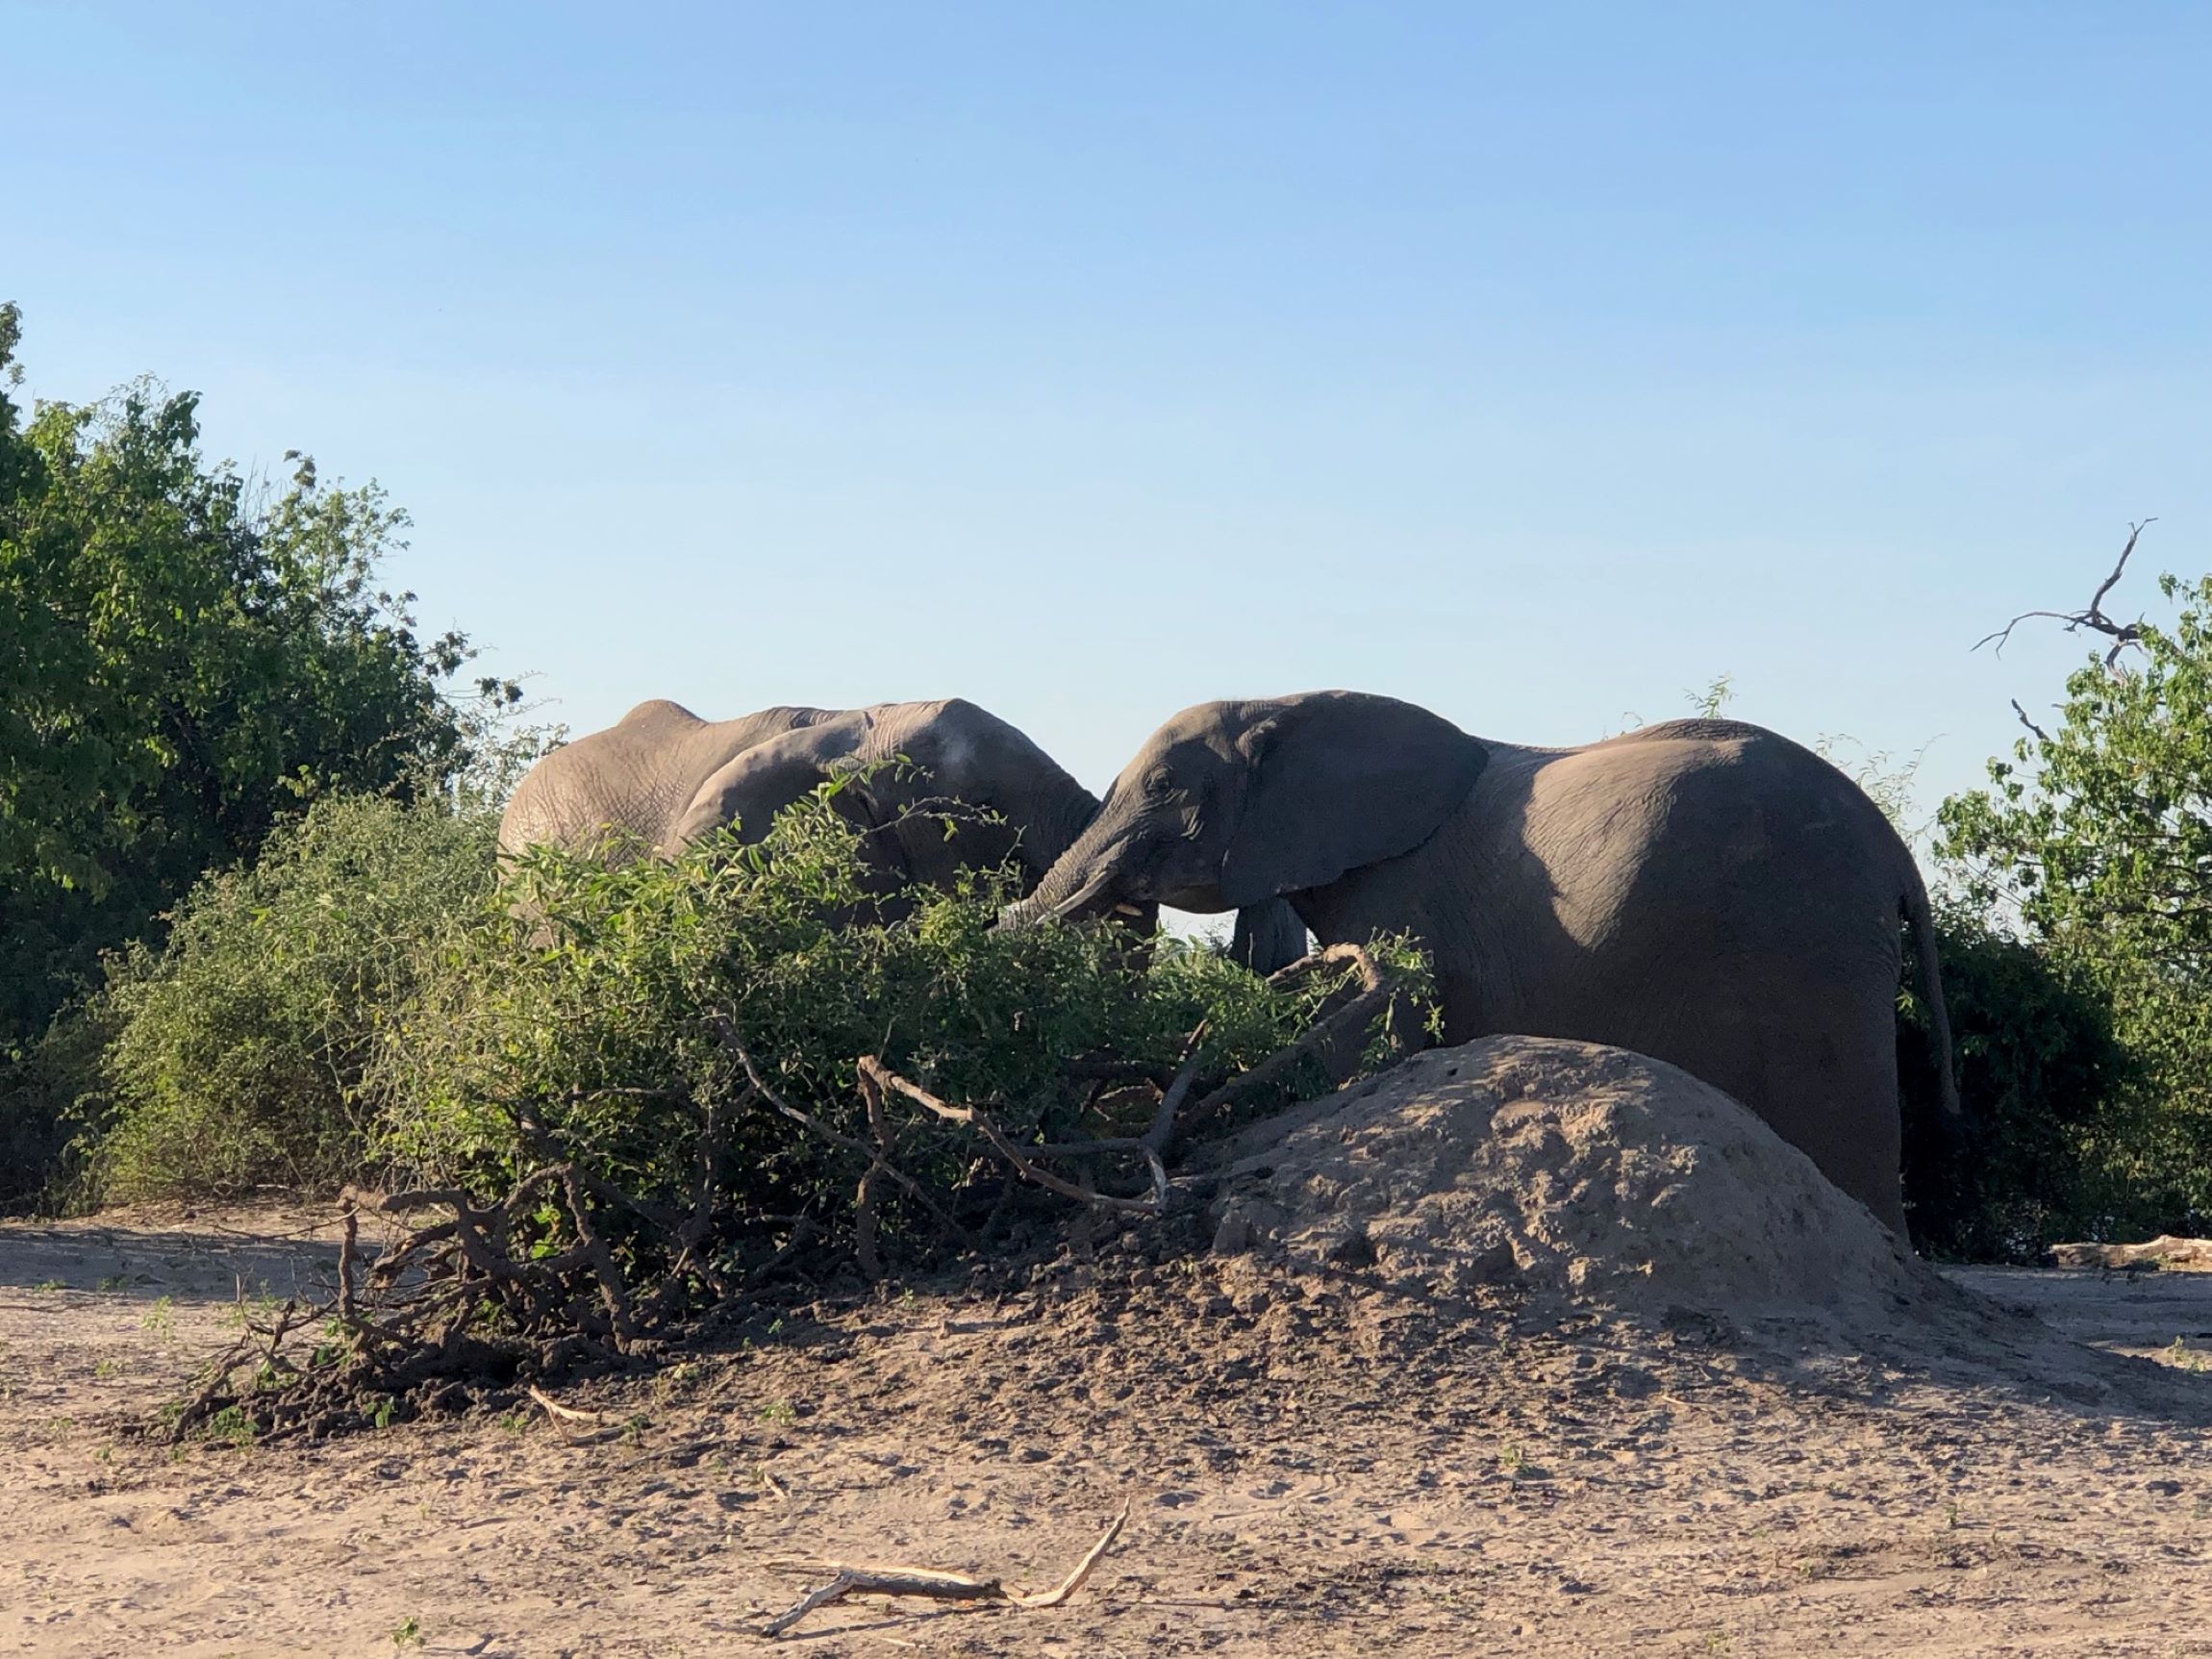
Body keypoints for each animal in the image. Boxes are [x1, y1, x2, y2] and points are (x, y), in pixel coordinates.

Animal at [1004, 690, 1955, 1239]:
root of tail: (1893, 850)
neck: (1286, 697)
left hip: (1809, 938)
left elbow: (1368, 1034)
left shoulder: (1400, 897)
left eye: (1163, 787)